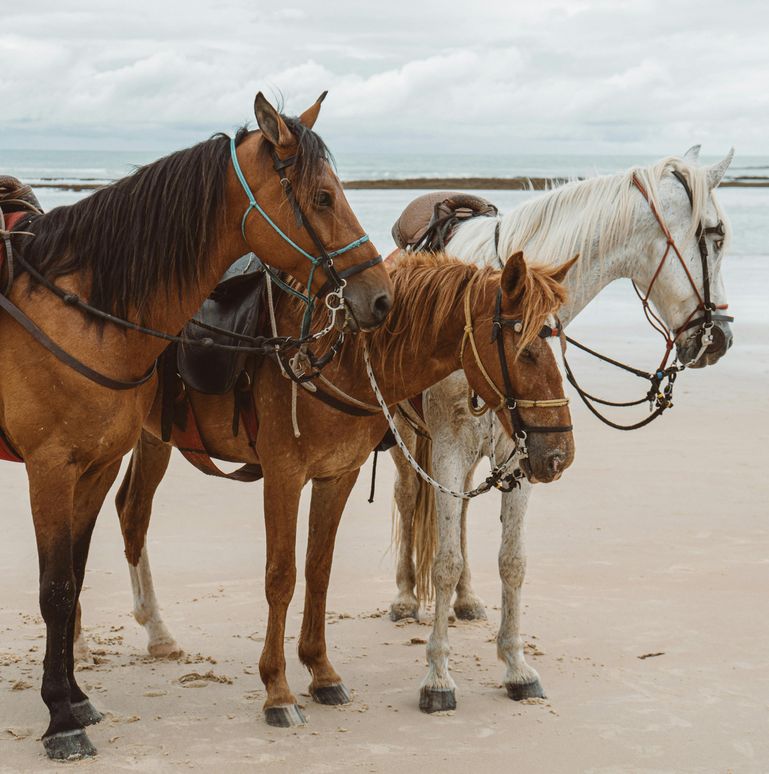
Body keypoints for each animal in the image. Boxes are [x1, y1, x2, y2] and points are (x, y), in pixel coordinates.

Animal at [0, 91, 393, 761]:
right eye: (322, 198)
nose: (381, 296)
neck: (75, 310)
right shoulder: (50, 469)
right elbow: (55, 589)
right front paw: (60, 721)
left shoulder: (95, 465)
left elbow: (73, 579)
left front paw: (75, 698)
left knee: (132, 517)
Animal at [75, 248, 576, 728]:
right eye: (525, 350)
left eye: (562, 346)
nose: (560, 455)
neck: (333, 356)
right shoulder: (283, 476)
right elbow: (281, 577)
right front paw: (277, 691)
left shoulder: (338, 476)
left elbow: (319, 569)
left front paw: (321, 673)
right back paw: (78, 645)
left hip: (152, 437)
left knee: (131, 512)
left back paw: (157, 633)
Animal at [388, 146, 735, 712]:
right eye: (716, 234)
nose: (721, 338)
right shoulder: (449, 448)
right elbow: (442, 560)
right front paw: (437, 677)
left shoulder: (523, 454)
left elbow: (512, 560)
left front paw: (515, 666)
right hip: (406, 438)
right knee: (405, 497)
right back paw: (402, 597)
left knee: (459, 518)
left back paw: (467, 600)